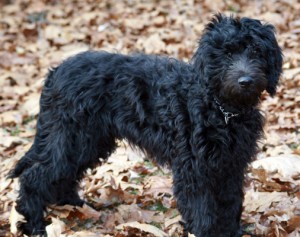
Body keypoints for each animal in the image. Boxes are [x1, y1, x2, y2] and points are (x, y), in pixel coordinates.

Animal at [8, 13, 282, 236]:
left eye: (256, 52)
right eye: (227, 53)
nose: (245, 81)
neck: (221, 109)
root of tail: (55, 73)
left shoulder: (231, 165)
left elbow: (230, 203)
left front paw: (232, 232)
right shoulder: (194, 168)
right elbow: (202, 209)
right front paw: (205, 233)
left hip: (88, 142)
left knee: (64, 175)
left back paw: (75, 206)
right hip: (70, 137)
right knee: (34, 176)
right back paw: (35, 224)